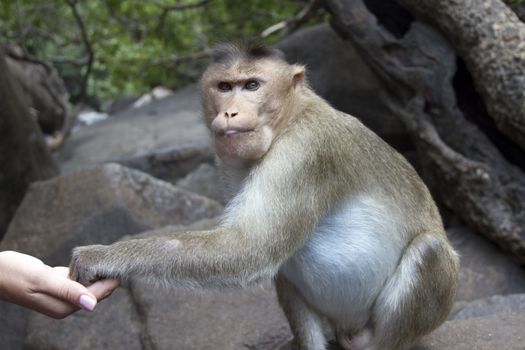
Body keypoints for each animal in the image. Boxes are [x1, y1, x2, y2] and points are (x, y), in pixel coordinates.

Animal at [70, 41, 458, 350]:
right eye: (225, 86)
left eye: (252, 85)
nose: (230, 111)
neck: (290, 117)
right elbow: (256, 247)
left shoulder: (305, 149)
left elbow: (248, 246)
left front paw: (104, 255)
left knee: (430, 251)